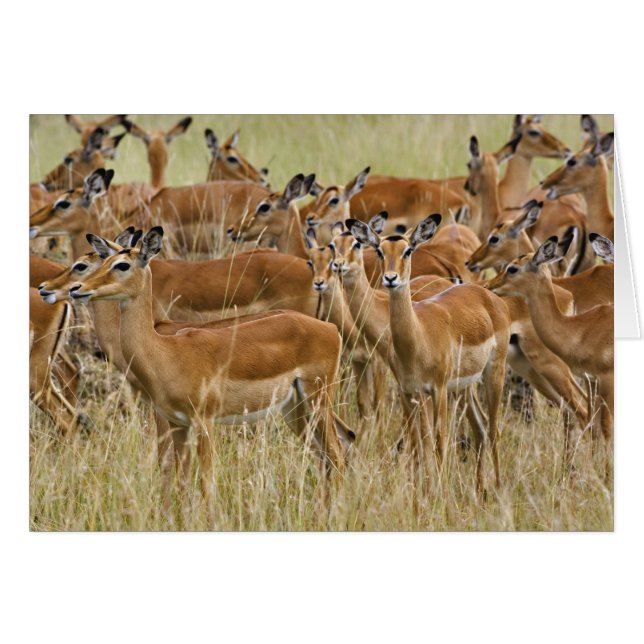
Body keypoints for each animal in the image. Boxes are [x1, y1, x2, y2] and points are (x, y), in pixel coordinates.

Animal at [68, 227, 349, 502]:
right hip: (294, 409)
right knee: (325, 458)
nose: (76, 288)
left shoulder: (204, 422)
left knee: (337, 455)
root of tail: (330, 328)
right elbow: (181, 482)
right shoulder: (178, 423)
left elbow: (206, 486)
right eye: (103, 261)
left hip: (318, 401)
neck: (166, 352)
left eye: (122, 265)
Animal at [346, 214, 512, 495]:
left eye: (408, 250)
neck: (418, 337)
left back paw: (499, 491)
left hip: (493, 374)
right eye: (380, 250)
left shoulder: (438, 389)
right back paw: (480, 492)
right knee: (479, 428)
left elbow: (438, 442)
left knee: (494, 430)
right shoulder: (409, 392)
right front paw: (420, 494)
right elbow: (417, 444)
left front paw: (439, 494)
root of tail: (489, 296)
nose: (391, 278)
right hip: (464, 387)